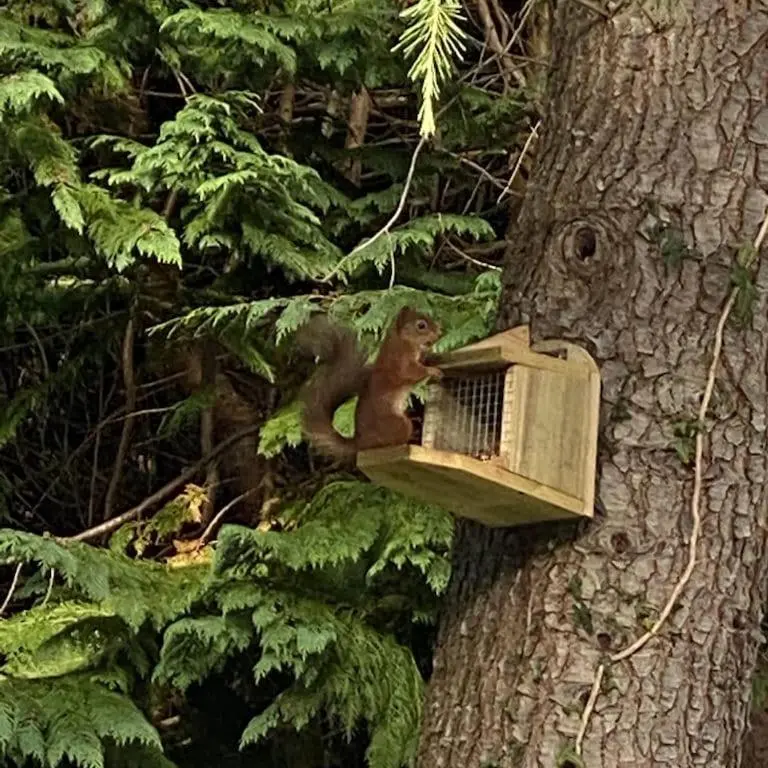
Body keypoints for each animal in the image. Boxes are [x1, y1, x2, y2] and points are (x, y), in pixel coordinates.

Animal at [298, 307, 442, 458]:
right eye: (421, 325)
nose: (440, 333)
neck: (401, 340)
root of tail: (359, 443)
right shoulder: (401, 362)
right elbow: (413, 372)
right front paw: (432, 370)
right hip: (399, 424)